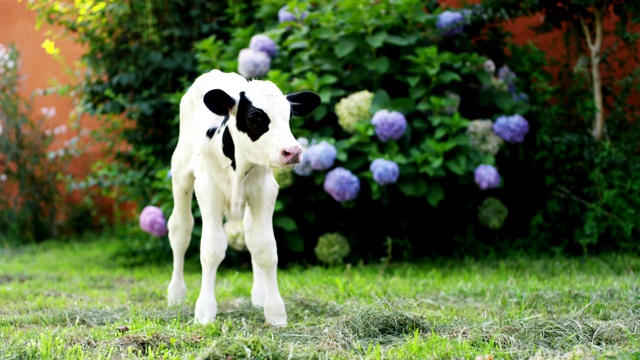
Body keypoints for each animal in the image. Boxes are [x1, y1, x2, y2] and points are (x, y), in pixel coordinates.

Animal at [168, 69, 322, 324]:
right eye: (254, 115)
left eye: (289, 115)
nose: (293, 152)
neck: (239, 165)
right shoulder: (208, 189)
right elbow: (211, 248)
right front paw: (205, 312)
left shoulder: (264, 190)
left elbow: (265, 248)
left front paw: (275, 312)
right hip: (180, 172)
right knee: (181, 229)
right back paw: (176, 294)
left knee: (250, 233)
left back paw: (259, 295)